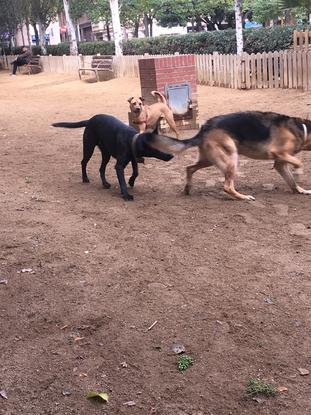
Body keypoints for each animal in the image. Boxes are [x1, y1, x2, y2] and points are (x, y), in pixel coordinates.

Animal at [149, 110, 311, 202]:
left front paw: (301, 190)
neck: (302, 129)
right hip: (232, 158)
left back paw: (188, 188)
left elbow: (291, 182)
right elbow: (299, 163)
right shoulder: (277, 153)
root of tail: (205, 128)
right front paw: (298, 173)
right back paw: (243, 197)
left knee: (189, 168)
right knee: (227, 186)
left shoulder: (280, 164)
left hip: (209, 160)